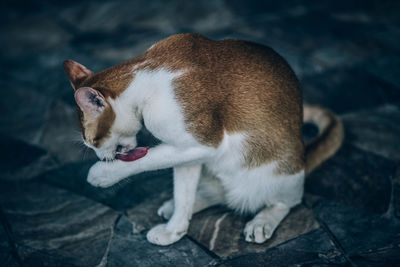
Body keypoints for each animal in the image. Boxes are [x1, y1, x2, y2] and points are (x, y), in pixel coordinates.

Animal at [63, 33, 344, 247]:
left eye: (92, 143)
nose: (101, 156)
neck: (144, 76)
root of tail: (303, 155)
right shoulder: (189, 152)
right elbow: (183, 190)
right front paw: (175, 229)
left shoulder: (205, 142)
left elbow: (147, 159)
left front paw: (101, 174)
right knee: (218, 195)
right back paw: (181, 205)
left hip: (279, 172)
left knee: (285, 202)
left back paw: (263, 220)